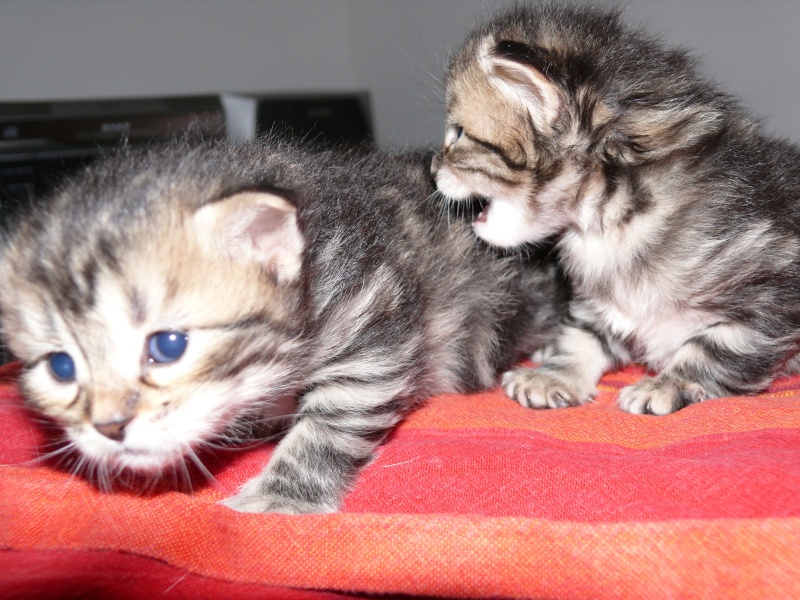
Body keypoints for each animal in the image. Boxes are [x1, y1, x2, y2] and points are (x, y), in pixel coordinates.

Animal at [0, 138, 564, 512]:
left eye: (167, 346)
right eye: (60, 367)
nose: (110, 428)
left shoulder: (369, 333)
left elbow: (327, 428)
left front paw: (278, 496)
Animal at [434, 3, 800, 418]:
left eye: (458, 134)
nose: (432, 166)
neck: (611, 220)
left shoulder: (771, 296)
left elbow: (715, 351)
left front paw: (669, 384)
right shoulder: (597, 306)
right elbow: (583, 336)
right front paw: (555, 376)